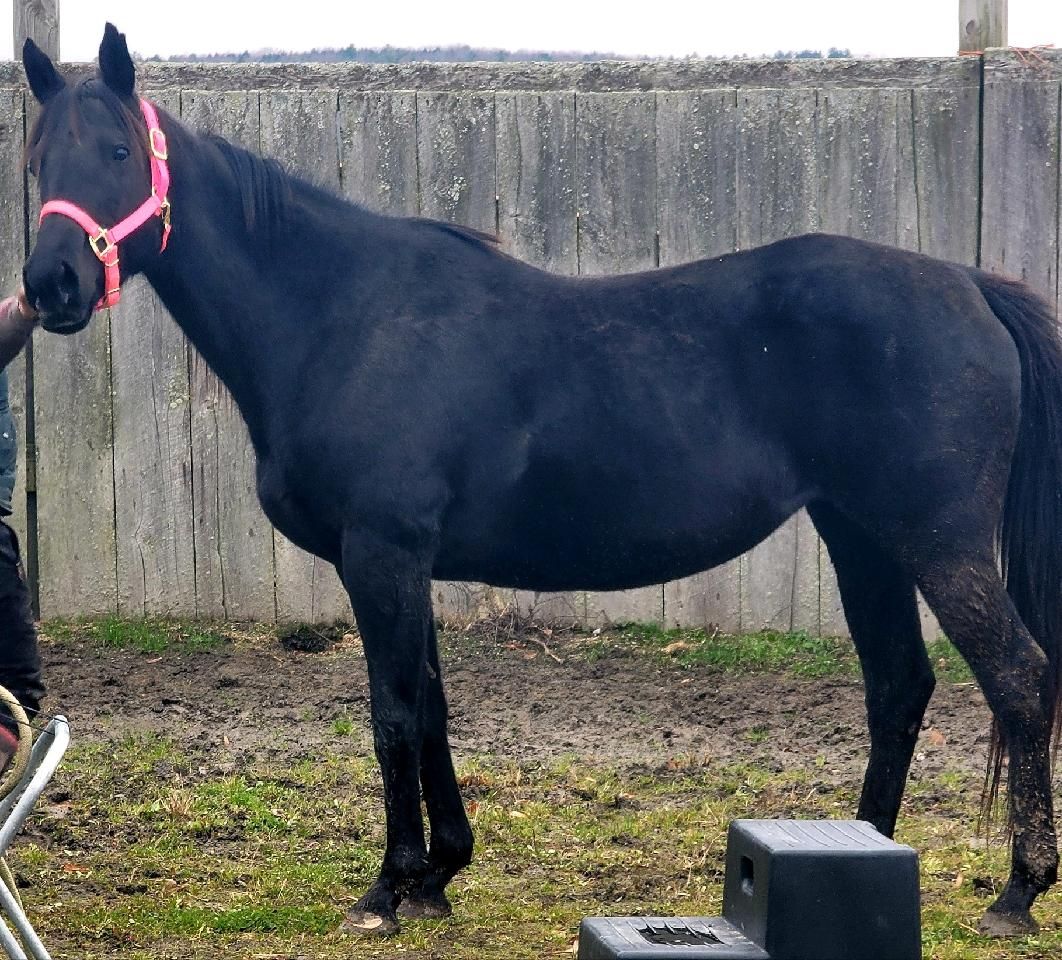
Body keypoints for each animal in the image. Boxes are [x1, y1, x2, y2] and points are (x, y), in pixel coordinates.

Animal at [20, 24, 1062, 939]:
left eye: (117, 149)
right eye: (35, 161)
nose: (50, 285)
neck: (340, 316)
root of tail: (971, 285)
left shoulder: (381, 554)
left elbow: (394, 711)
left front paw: (388, 887)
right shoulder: (409, 564)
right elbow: (432, 706)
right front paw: (439, 876)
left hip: (939, 544)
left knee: (1016, 677)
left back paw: (1016, 894)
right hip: (862, 538)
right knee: (899, 686)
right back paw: (860, 850)